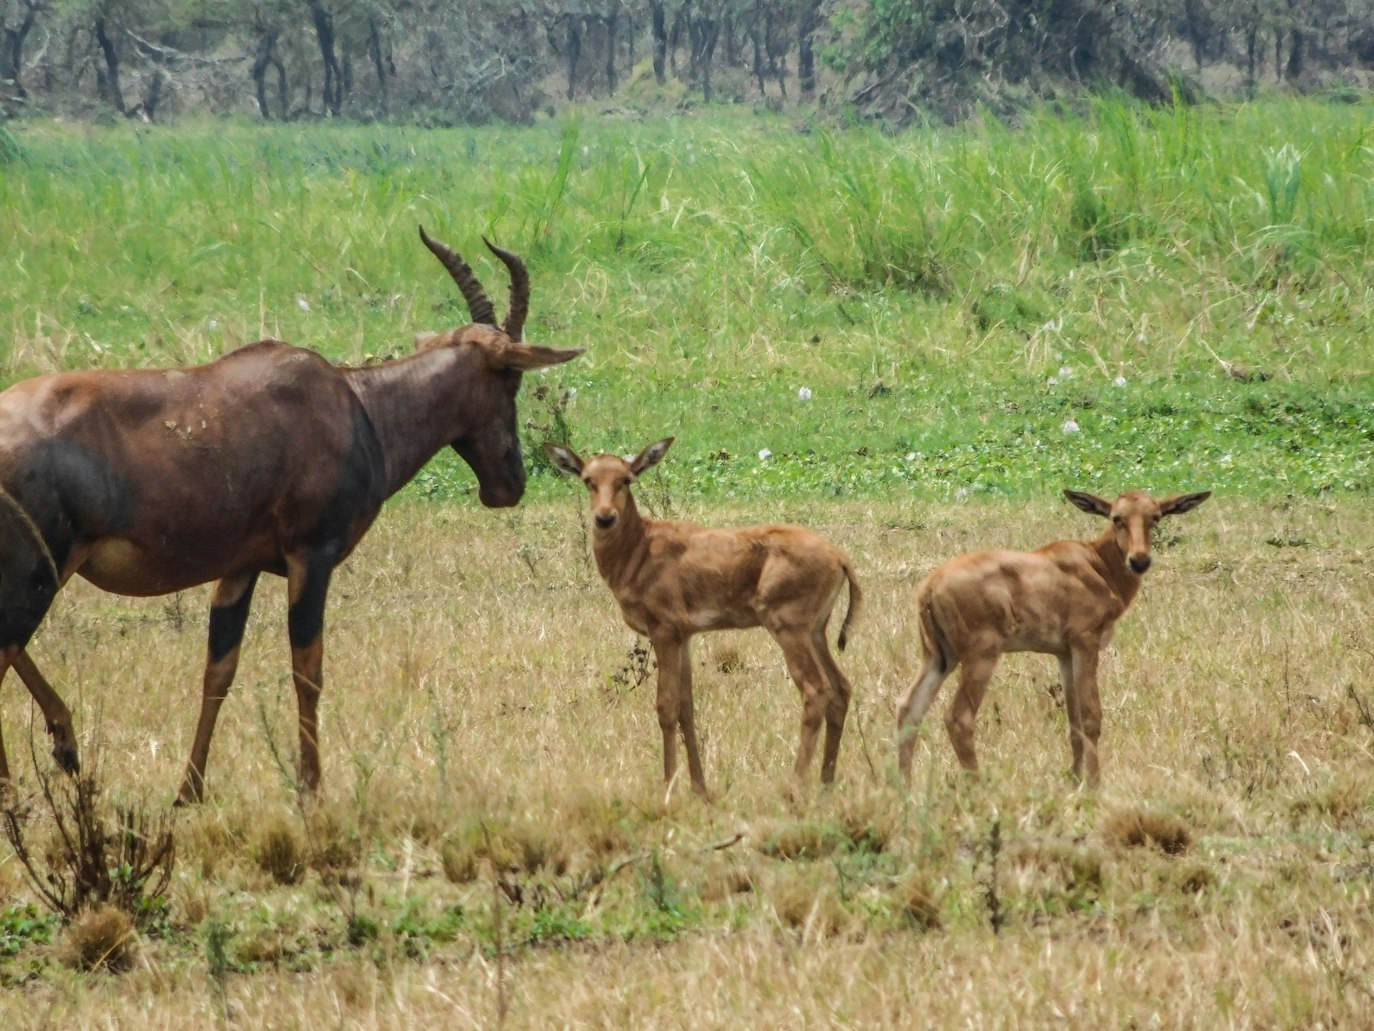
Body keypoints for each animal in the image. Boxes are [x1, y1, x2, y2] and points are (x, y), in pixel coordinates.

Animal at [0, 228, 579, 808]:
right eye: (511, 379)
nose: (509, 484)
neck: (355, 406)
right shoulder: (311, 556)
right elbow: (308, 670)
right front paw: (311, 788)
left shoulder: (241, 567)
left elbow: (218, 671)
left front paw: (189, 791)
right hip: (43, 568)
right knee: (6, 645)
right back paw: (50, 757)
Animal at [544, 437, 857, 797]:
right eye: (588, 480)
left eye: (626, 479)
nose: (604, 518)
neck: (641, 548)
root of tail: (839, 556)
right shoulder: (685, 637)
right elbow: (686, 707)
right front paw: (700, 789)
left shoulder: (664, 632)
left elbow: (666, 707)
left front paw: (668, 786)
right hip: (817, 631)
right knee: (841, 689)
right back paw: (826, 783)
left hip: (789, 630)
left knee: (816, 691)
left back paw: (794, 787)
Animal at [895, 492, 1209, 791]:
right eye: (1117, 517)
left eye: (1155, 517)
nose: (1139, 561)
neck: (1095, 563)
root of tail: (930, 586)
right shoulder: (1085, 643)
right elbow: (1091, 715)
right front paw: (1094, 785)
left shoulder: (1064, 654)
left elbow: (1074, 719)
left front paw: (1075, 779)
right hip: (981, 655)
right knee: (958, 718)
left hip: (939, 658)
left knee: (909, 709)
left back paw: (904, 787)